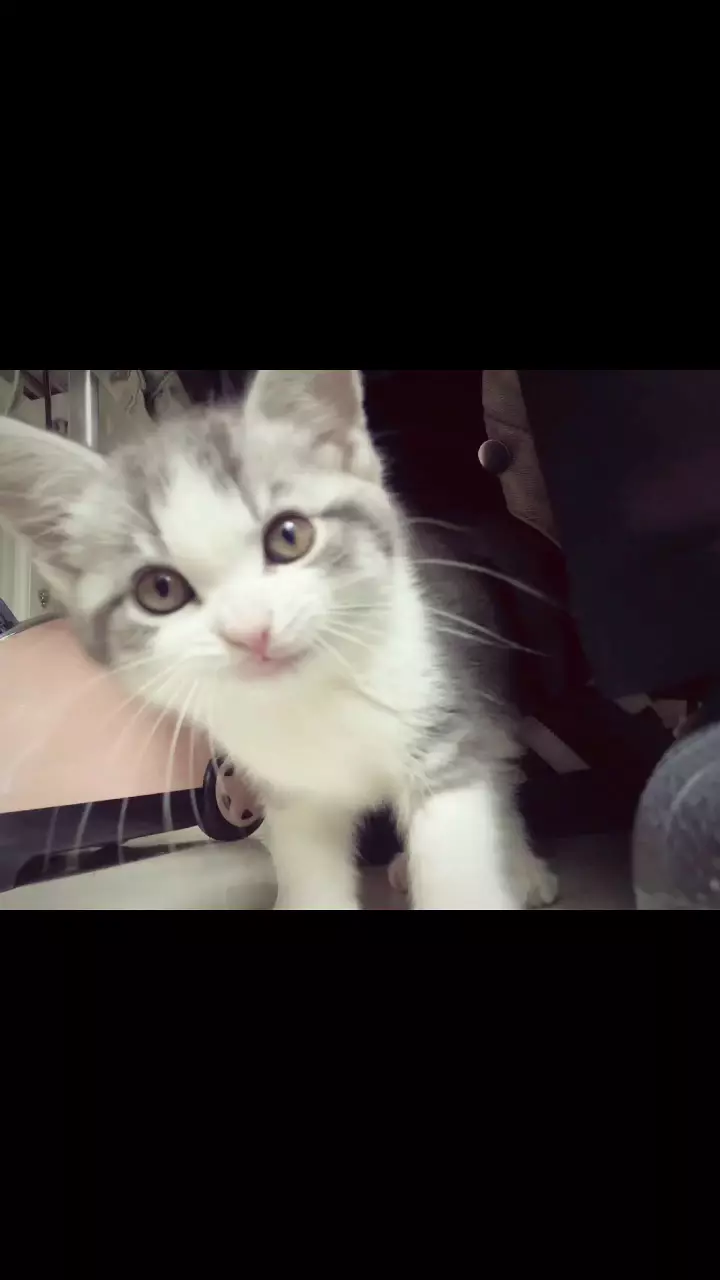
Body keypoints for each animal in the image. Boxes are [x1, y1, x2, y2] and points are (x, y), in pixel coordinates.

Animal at [0, 369, 557, 910]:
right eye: (159, 590)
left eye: (290, 536)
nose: (252, 630)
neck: (312, 701)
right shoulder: (292, 798)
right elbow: (311, 870)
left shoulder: (443, 722)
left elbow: (460, 845)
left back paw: (523, 868)